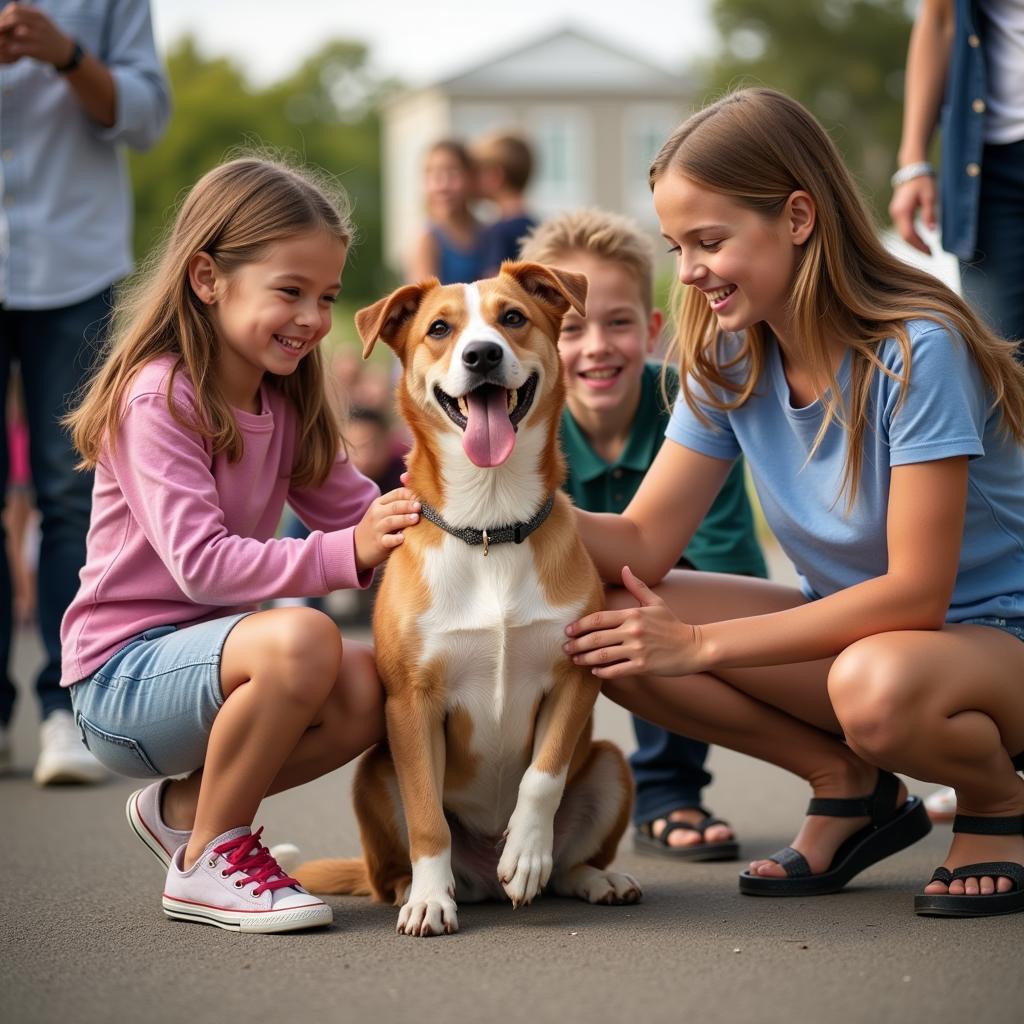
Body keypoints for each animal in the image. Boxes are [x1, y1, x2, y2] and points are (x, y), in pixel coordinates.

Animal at [290, 262, 638, 937]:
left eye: (513, 318)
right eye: (439, 329)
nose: (482, 355)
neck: (490, 524)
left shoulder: (575, 677)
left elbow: (543, 777)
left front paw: (526, 852)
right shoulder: (411, 703)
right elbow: (429, 818)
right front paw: (430, 900)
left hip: (611, 763)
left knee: (569, 865)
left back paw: (591, 877)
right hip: (372, 775)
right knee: (393, 871)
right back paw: (419, 888)